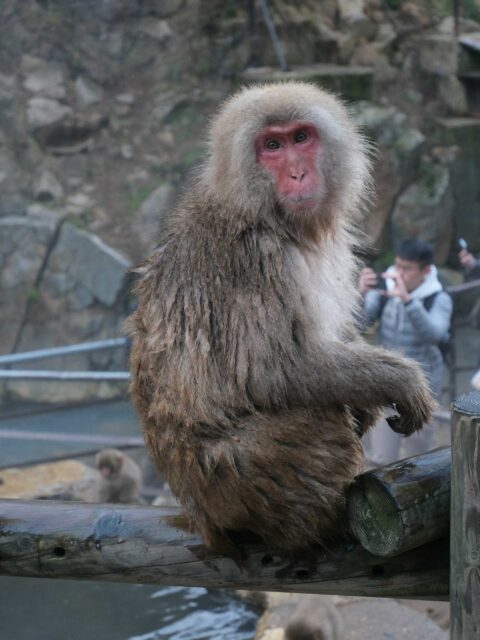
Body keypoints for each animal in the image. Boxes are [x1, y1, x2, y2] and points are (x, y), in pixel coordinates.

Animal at [128, 82, 435, 556]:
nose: (297, 174)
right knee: (314, 420)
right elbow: (273, 371)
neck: (266, 214)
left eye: (300, 138)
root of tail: (202, 519)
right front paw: (401, 381)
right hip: (242, 478)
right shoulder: (254, 257)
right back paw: (330, 522)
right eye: (271, 146)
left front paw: (370, 397)